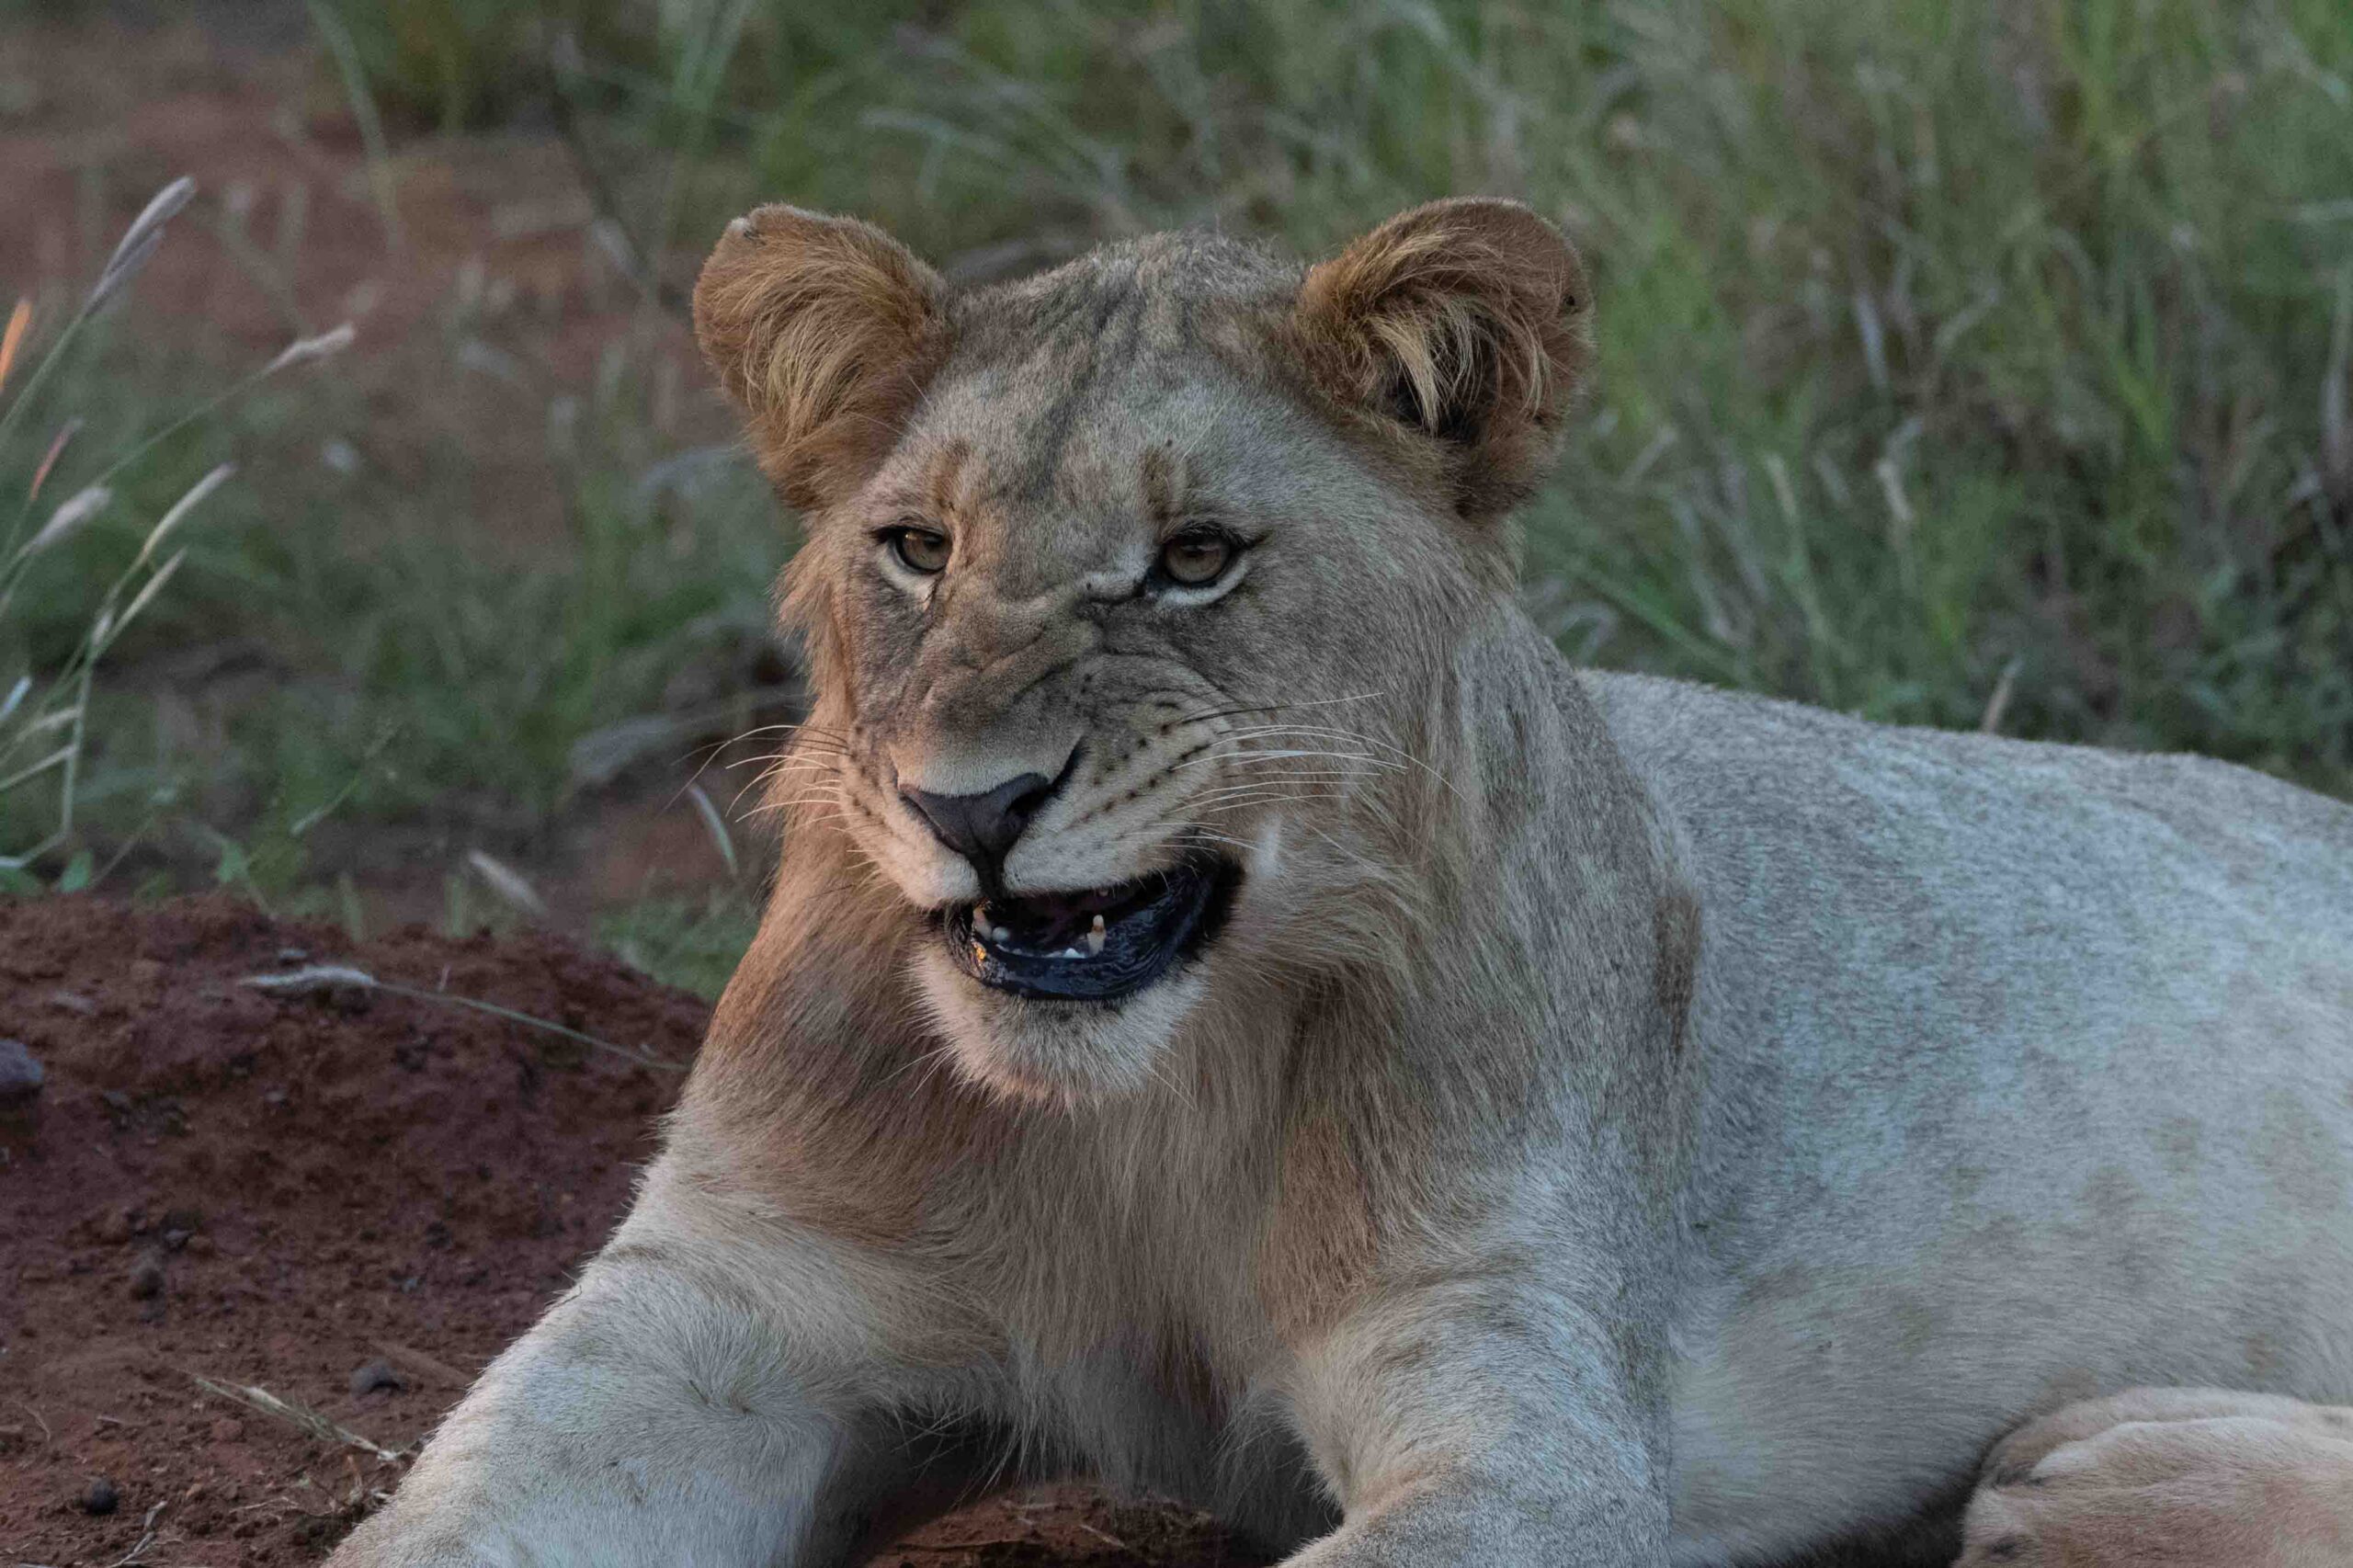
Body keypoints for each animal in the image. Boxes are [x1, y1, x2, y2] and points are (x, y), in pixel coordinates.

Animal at [330, 200, 2353, 1568]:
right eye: (916, 549)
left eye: (1195, 559)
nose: (969, 805)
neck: (1144, 1104)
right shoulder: (741, 1284)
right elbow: (448, 1515)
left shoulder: (1519, 1399)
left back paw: (2097, 1475)